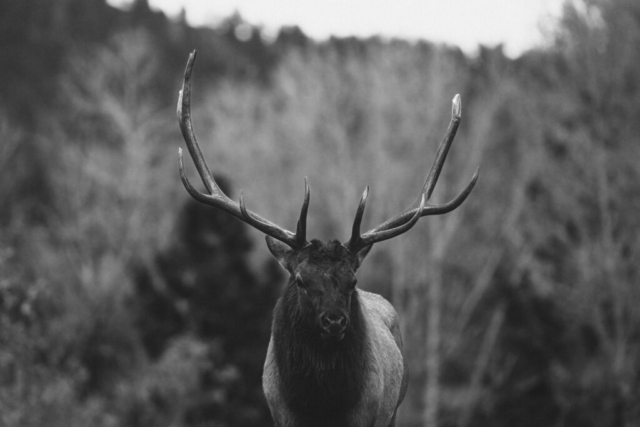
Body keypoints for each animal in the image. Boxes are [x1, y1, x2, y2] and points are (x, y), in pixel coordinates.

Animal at [175, 51, 480, 427]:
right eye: (300, 278)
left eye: (352, 280)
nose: (335, 320)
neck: (320, 405)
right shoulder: (281, 414)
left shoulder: (366, 415)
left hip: (393, 409)